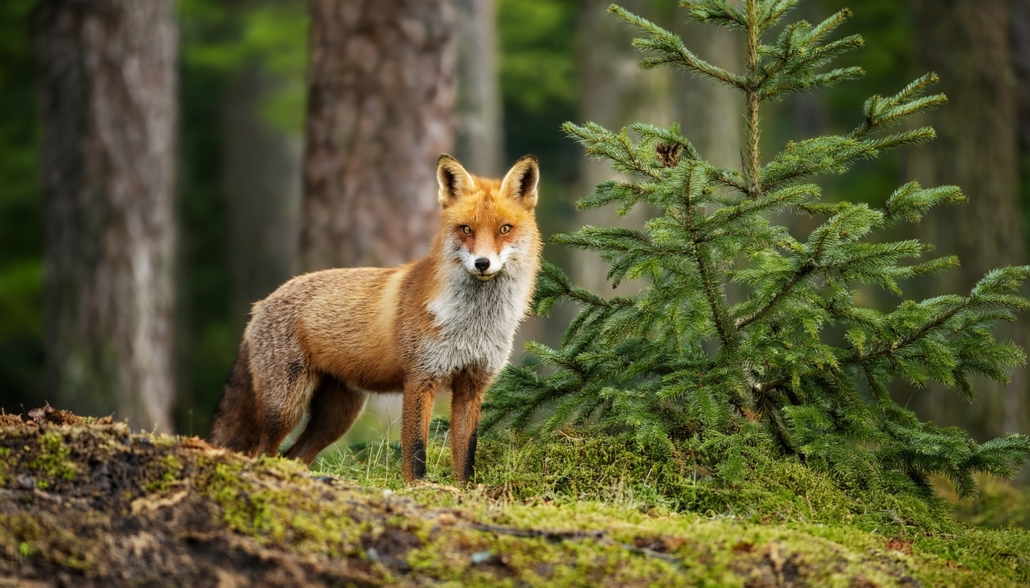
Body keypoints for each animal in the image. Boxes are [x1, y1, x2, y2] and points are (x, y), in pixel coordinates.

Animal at [208, 154, 542, 482]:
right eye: (466, 229)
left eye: (504, 229)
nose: (482, 263)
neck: (472, 325)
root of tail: (260, 304)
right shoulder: (420, 379)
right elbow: (415, 450)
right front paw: (417, 489)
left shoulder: (472, 385)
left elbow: (467, 454)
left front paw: (464, 490)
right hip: (286, 407)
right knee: (261, 453)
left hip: (337, 417)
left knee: (294, 455)